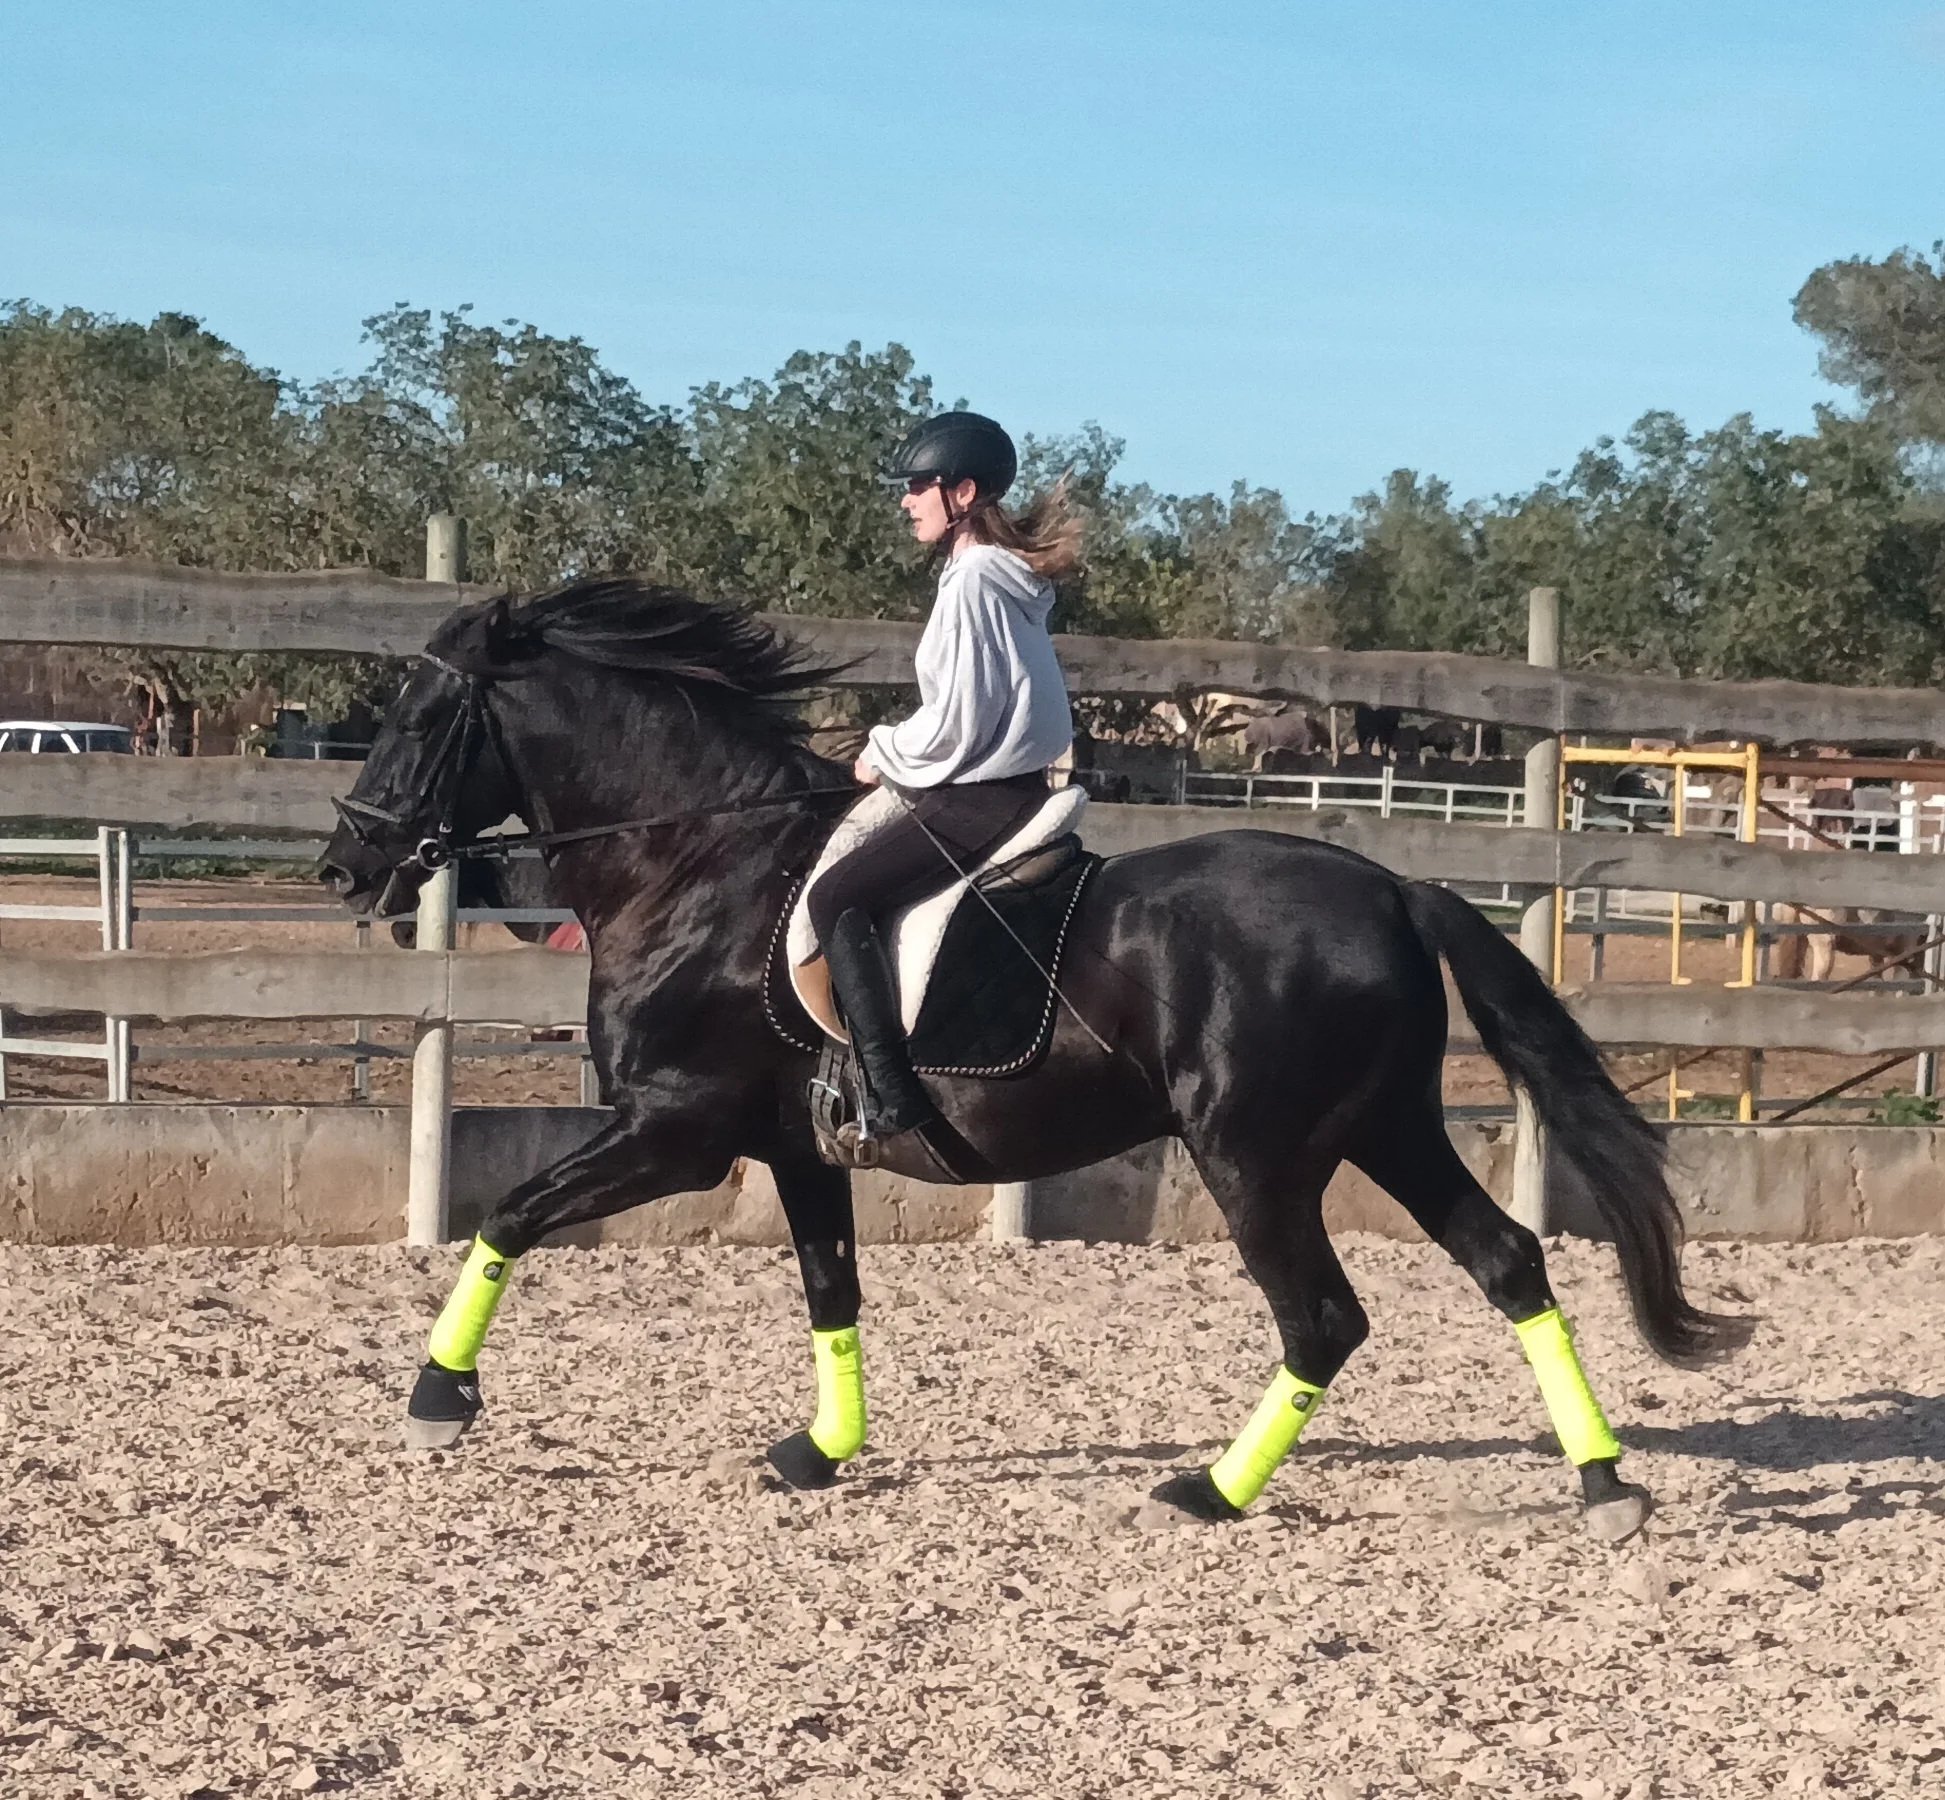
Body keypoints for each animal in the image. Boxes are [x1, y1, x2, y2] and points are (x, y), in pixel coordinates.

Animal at [318, 577, 1748, 1538]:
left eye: (422, 713)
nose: (345, 863)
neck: (697, 865)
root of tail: (1393, 888)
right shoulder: (793, 1149)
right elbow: (831, 1294)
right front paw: (820, 1452)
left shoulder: (678, 1132)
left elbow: (508, 1213)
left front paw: (436, 1398)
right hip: (1382, 1129)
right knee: (1506, 1263)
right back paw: (1602, 1485)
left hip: (1257, 1152)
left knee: (1324, 1317)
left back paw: (1206, 1492)